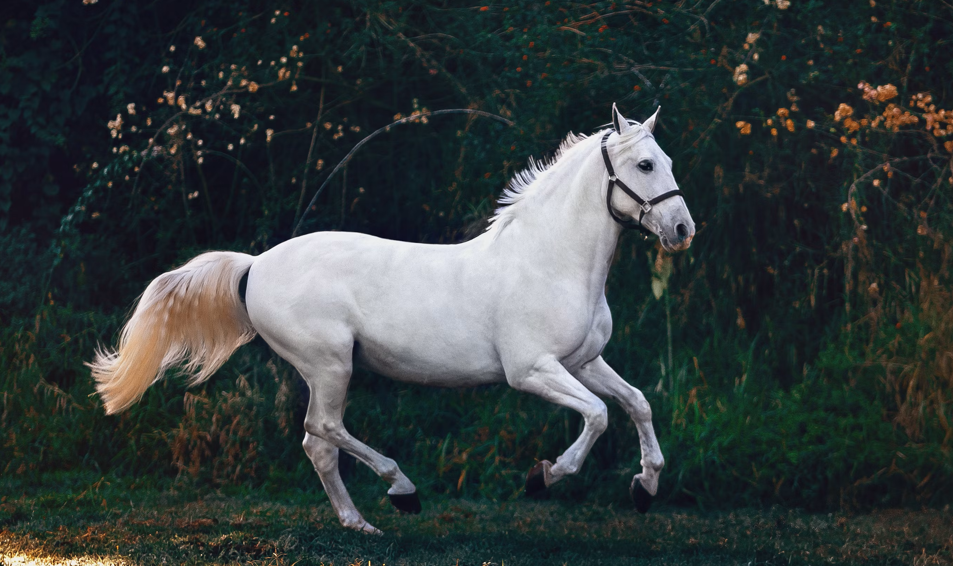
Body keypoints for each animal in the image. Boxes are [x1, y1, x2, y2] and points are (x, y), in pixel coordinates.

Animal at [90, 104, 695, 534]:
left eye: (668, 163)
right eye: (645, 165)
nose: (683, 230)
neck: (549, 261)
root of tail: (255, 265)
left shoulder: (584, 361)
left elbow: (636, 403)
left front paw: (645, 487)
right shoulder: (533, 371)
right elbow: (597, 415)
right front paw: (543, 477)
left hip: (328, 370)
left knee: (317, 444)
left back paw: (360, 523)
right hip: (330, 365)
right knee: (323, 430)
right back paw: (401, 491)